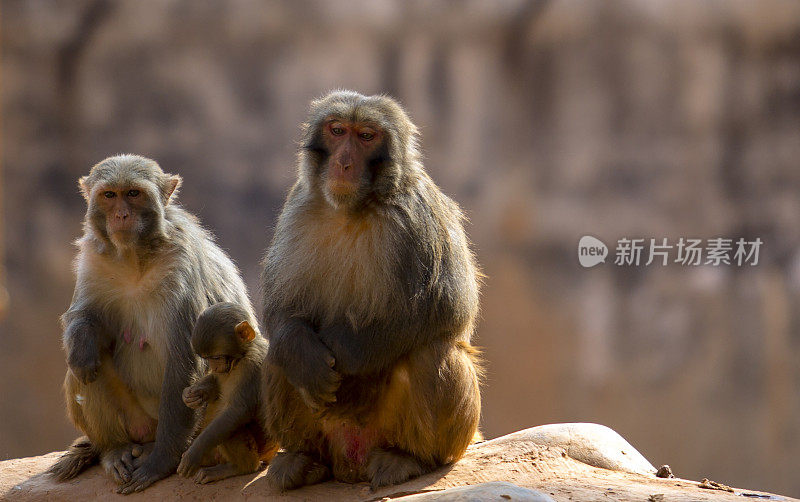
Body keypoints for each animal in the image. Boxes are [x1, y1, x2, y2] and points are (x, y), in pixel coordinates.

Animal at [177, 302, 276, 482]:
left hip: (260, 450)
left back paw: (239, 467)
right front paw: (191, 394)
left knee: (229, 424)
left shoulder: (253, 366)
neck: (241, 357)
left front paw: (193, 453)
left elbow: (237, 411)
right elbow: (216, 383)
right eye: (206, 358)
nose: (214, 367)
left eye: (216, 357)